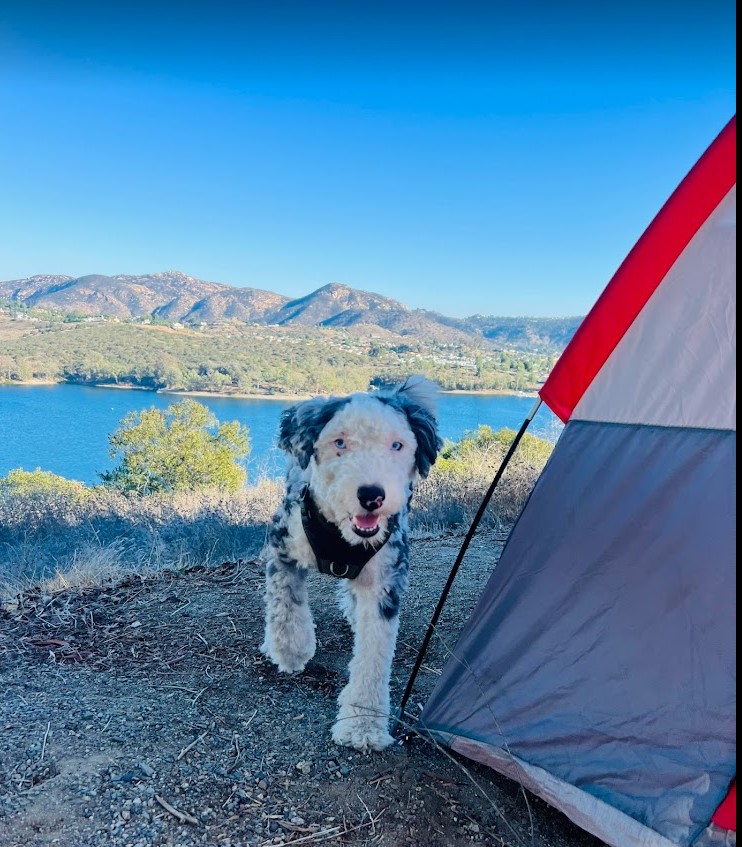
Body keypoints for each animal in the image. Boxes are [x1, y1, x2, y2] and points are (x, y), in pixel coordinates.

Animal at [262, 374, 442, 752]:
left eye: (397, 445)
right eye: (340, 442)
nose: (371, 495)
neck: (342, 534)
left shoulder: (385, 580)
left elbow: (374, 656)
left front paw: (363, 727)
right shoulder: (282, 545)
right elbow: (285, 605)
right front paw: (291, 650)